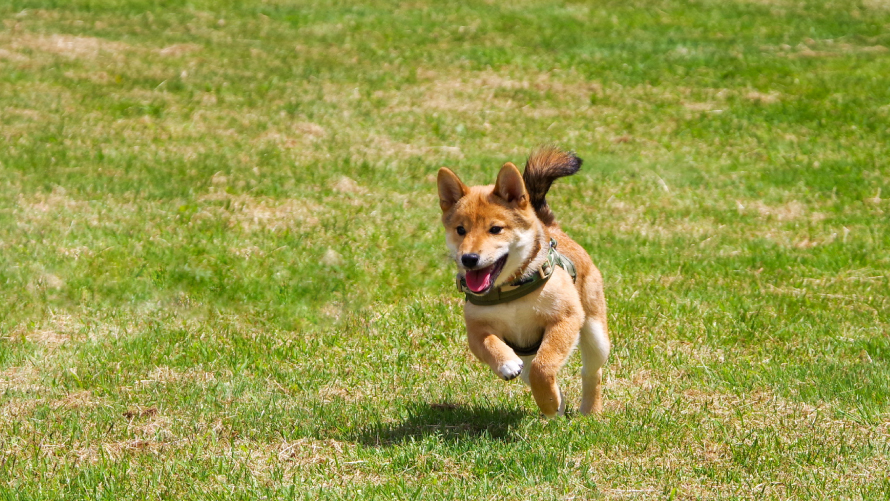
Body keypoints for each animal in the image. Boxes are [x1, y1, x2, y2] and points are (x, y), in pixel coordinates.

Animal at [438, 146, 612, 416]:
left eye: (495, 229)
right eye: (460, 230)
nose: (469, 258)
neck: (511, 288)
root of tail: (552, 228)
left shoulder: (565, 318)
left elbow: (544, 367)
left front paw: (549, 400)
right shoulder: (476, 329)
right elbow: (489, 343)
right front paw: (507, 364)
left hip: (595, 334)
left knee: (590, 371)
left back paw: (588, 411)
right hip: (527, 354)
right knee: (535, 372)